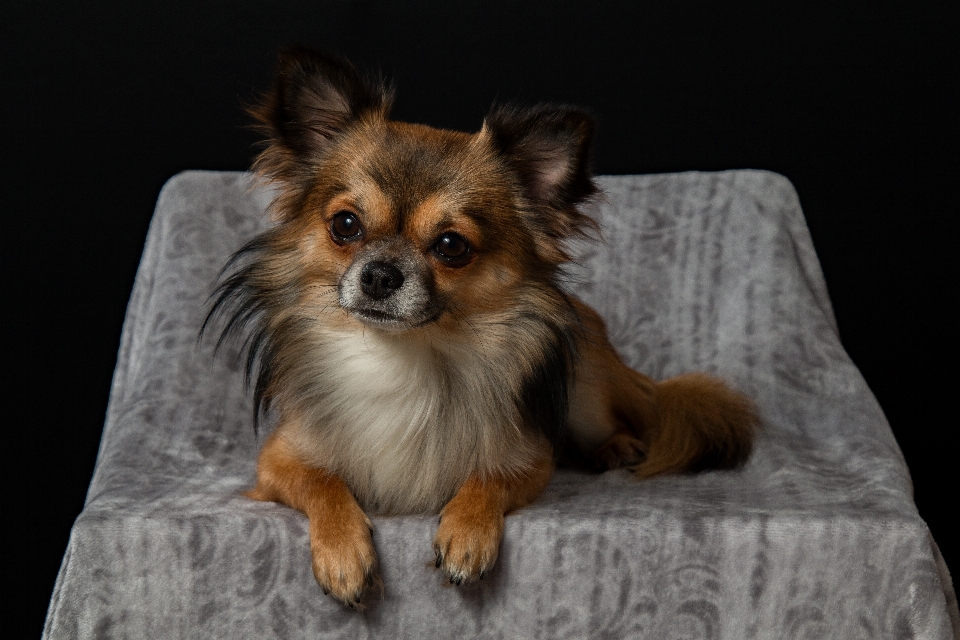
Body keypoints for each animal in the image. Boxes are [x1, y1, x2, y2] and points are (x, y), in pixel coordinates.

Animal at [206, 47, 760, 608]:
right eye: (345, 225)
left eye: (452, 246)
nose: (381, 274)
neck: (399, 355)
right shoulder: (279, 461)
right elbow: (322, 484)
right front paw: (344, 552)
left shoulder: (529, 457)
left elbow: (488, 478)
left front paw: (467, 534)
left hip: (583, 390)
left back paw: (617, 447)